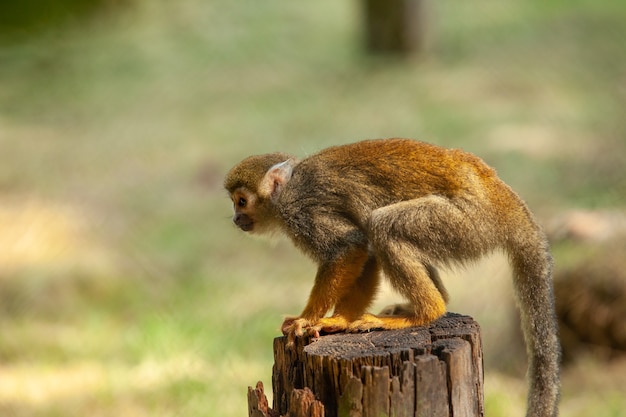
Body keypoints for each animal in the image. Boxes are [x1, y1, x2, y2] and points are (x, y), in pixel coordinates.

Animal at [222, 138, 560, 414]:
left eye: (242, 201)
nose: (237, 219)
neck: (286, 193)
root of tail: (503, 198)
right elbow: (366, 252)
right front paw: (342, 320)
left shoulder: (302, 212)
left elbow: (350, 245)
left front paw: (310, 320)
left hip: (466, 222)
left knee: (383, 225)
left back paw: (424, 312)